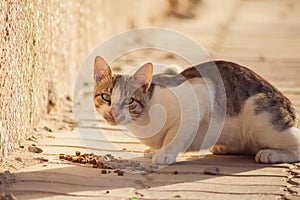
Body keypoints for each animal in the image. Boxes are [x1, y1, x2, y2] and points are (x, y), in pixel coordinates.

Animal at [94, 55, 300, 164]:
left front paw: (165, 152)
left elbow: (176, 134)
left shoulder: (201, 90)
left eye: (129, 101)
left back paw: (271, 153)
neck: (142, 120)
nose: (113, 113)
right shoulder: (172, 69)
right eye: (106, 97)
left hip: (261, 116)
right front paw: (155, 150)